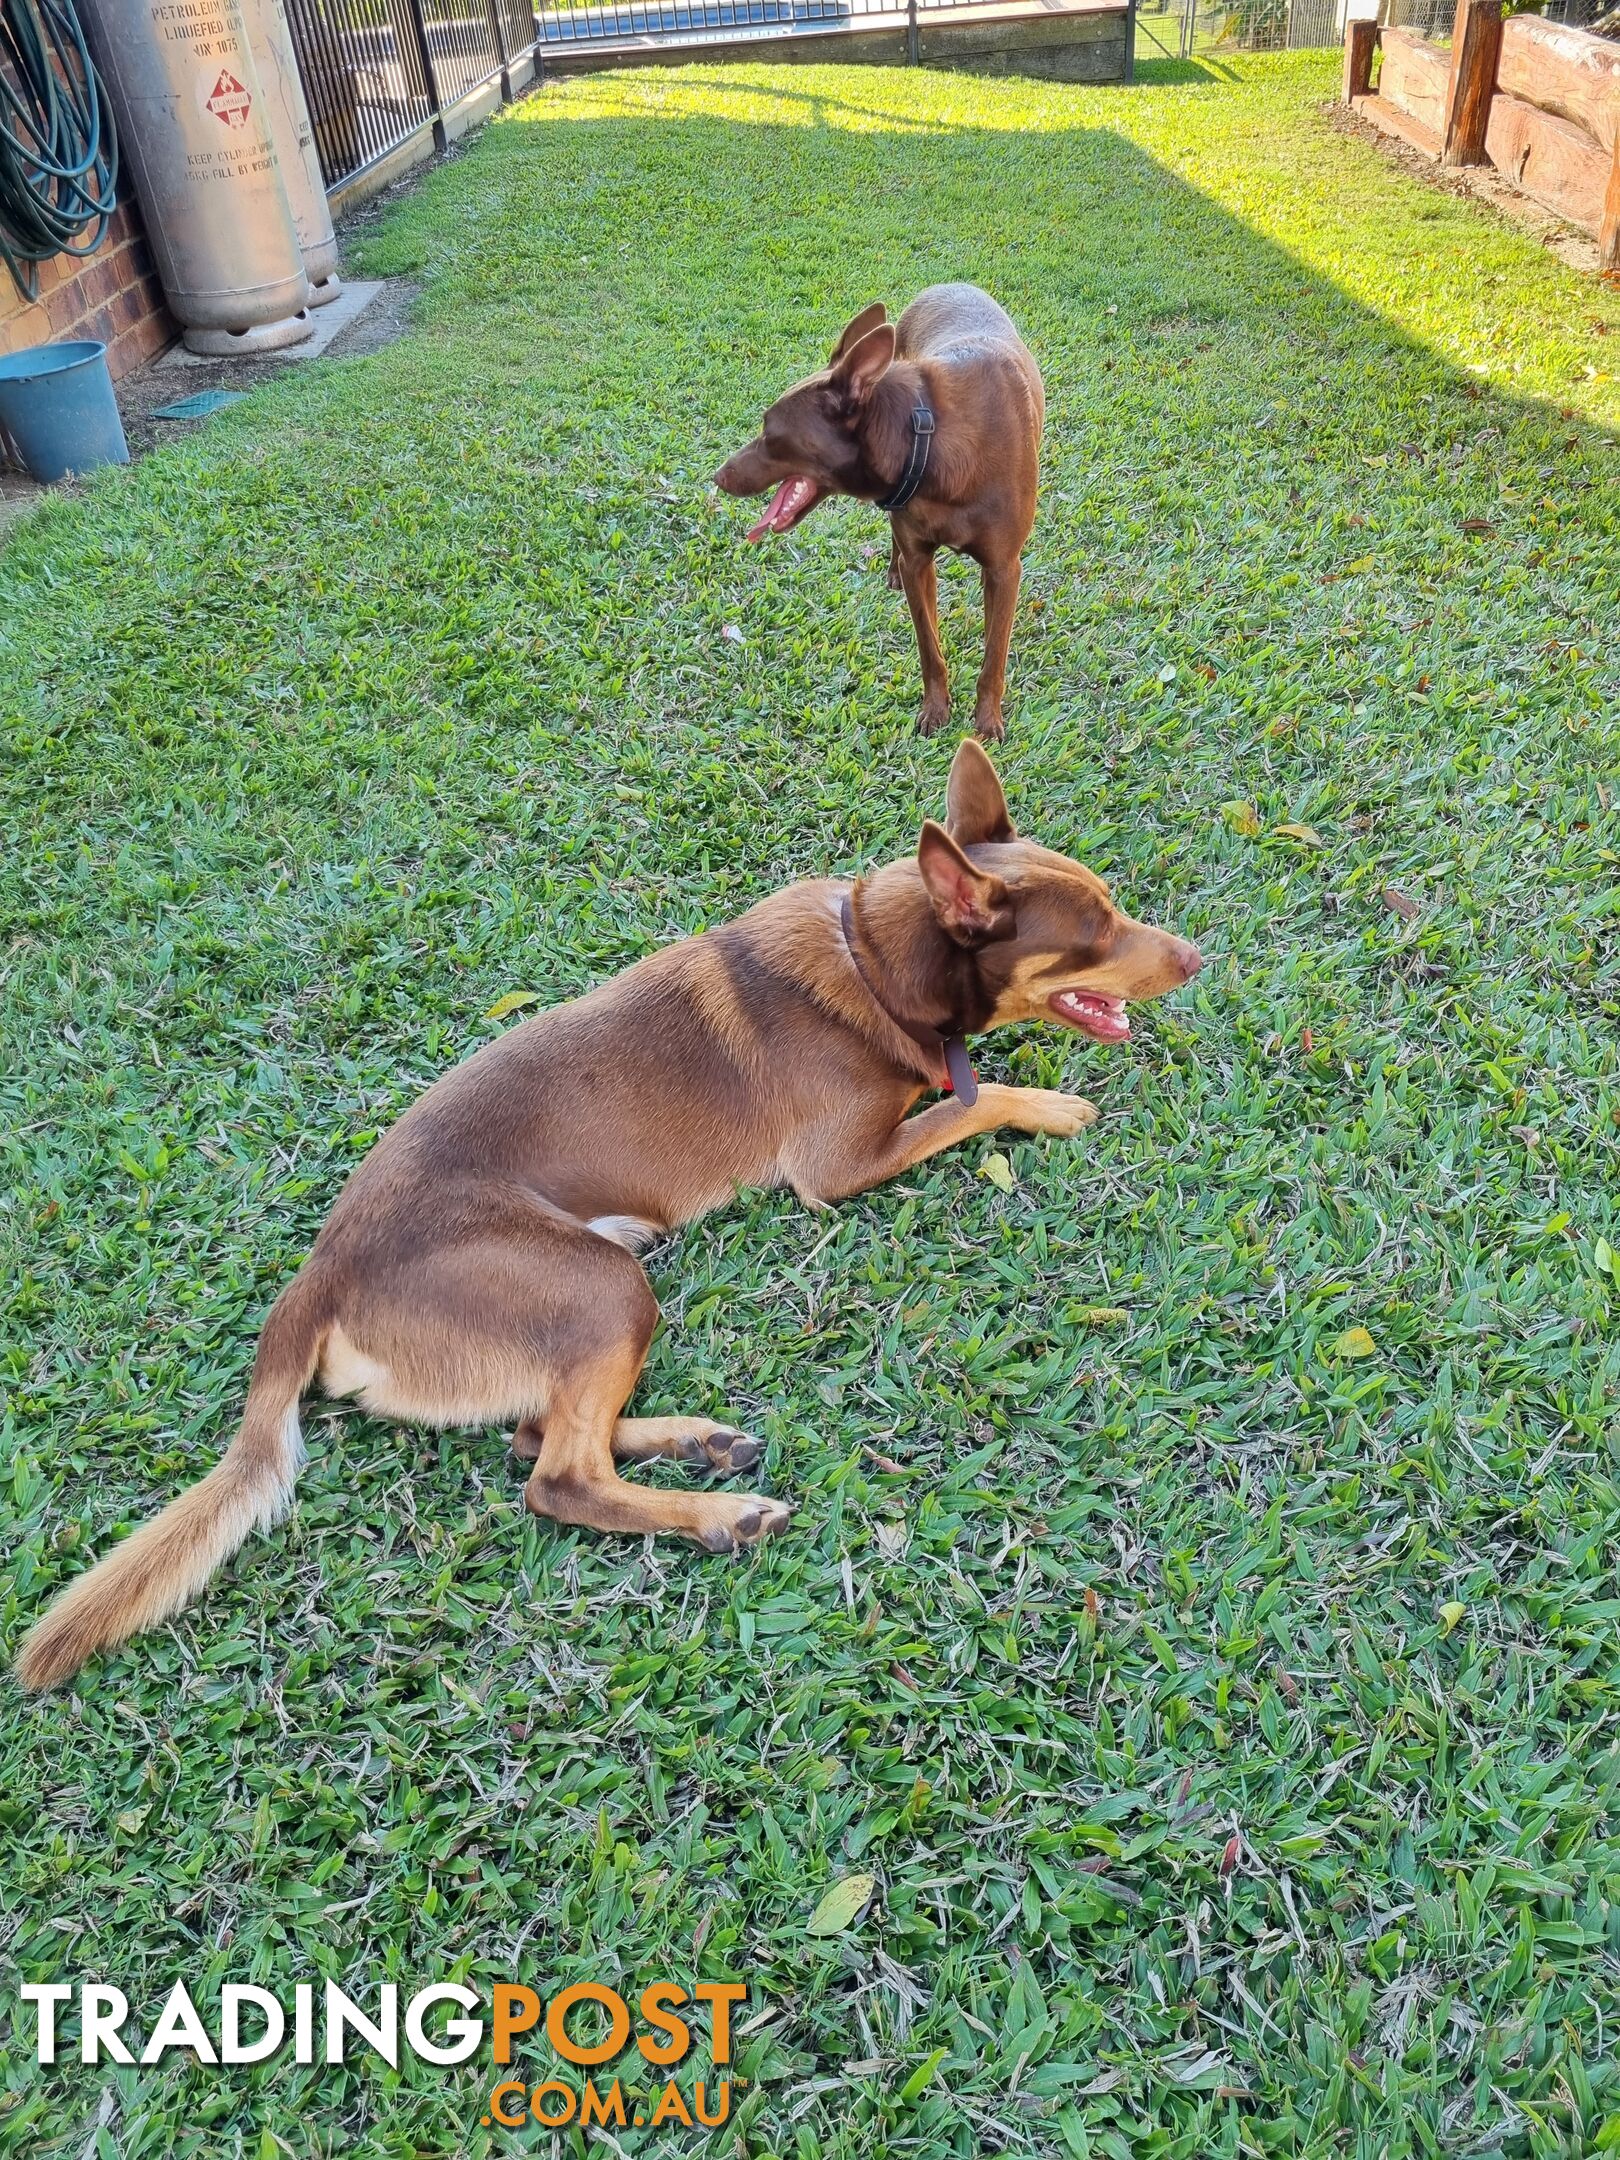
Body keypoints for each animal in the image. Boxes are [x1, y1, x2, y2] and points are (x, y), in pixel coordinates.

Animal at [15, 751, 1209, 1693]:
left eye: (1112, 904)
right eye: (1096, 930)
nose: (1197, 956)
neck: (876, 955)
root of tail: (316, 1278)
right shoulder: (842, 1167)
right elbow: (975, 1097)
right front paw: (1050, 1104)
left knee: (538, 1433)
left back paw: (698, 1441)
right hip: (598, 1288)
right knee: (557, 1478)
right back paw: (719, 1514)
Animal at [717, 287, 1045, 743]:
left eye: (769, 432)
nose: (718, 476)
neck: (926, 441)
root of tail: (946, 284)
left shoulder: (1004, 568)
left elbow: (994, 654)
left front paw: (987, 722)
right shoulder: (919, 560)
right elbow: (929, 646)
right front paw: (936, 709)